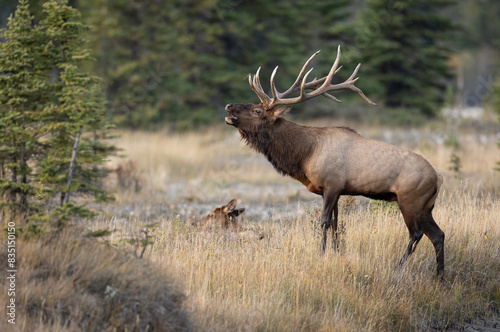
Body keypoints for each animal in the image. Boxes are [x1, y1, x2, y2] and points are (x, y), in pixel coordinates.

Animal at [224, 46, 446, 280]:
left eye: (257, 110)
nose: (229, 106)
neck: (305, 155)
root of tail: (438, 176)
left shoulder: (333, 184)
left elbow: (324, 222)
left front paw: (321, 254)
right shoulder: (334, 190)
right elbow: (336, 224)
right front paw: (337, 252)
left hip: (410, 200)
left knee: (417, 233)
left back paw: (398, 267)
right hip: (426, 206)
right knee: (438, 234)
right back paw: (440, 276)